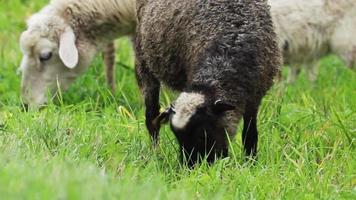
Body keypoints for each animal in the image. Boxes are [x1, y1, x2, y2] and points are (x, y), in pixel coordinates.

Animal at [135, 0, 282, 165]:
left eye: (203, 134)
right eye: (178, 137)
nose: (191, 167)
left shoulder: (254, 96)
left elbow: (249, 133)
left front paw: (250, 161)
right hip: (144, 60)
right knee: (151, 117)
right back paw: (155, 154)